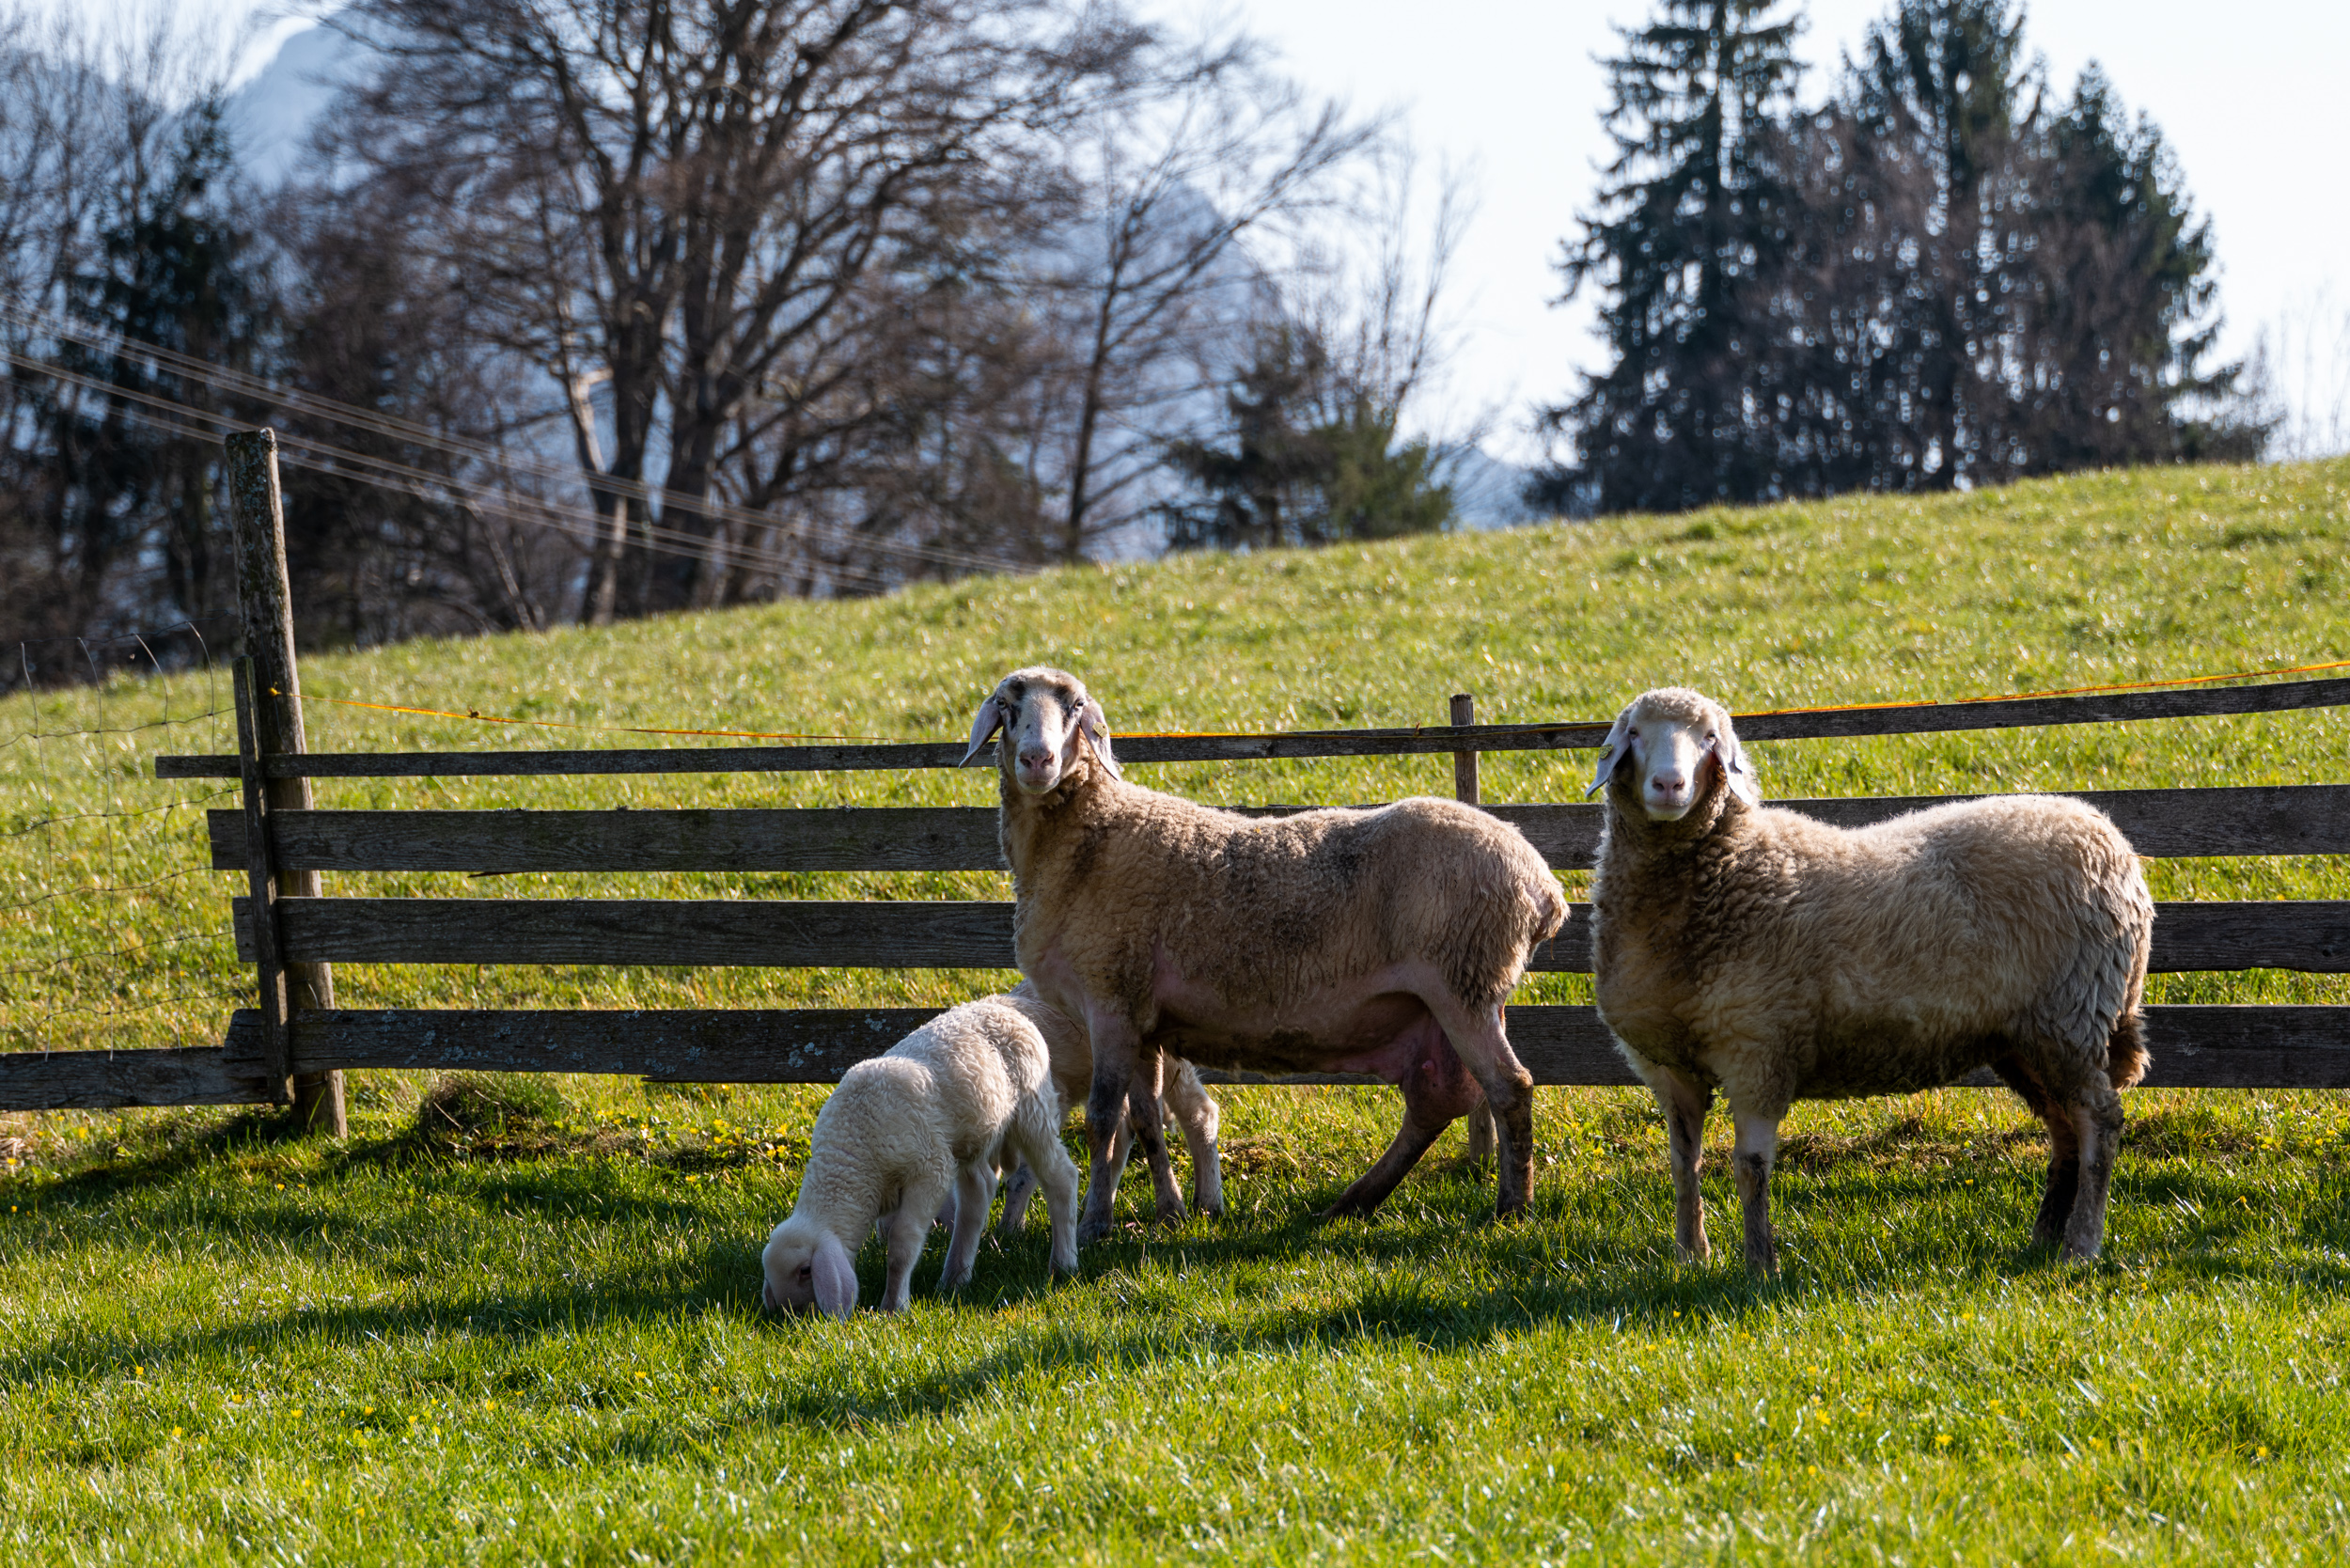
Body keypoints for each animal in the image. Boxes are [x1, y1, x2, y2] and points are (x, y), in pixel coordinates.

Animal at [760, 995, 1080, 1317]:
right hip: (969, 1135)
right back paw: (954, 1278)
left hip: (1032, 1109)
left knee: (1060, 1176)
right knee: (979, 1191)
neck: (852, 1153)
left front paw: (893, 1307)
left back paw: (1063, 1264)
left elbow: (902, 1241)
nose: (797, 1316)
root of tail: (1007, 1006)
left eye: (805, 1270)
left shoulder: (930, 1170)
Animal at [993, 981, 1223, 1237]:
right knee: (1124, 1128)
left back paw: (1208, 1205)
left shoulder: (1051, 1101)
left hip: (1167, 1059)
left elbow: (1024, 1171)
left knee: (1199, 1112)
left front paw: (1008, 1228)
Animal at [1585, 685, 2154, 1271]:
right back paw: (2044, 1237)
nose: (1669, 785)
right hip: (2024, 1036)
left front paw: (1759, 1265)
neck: (1726, 870)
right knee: (2065, 1128)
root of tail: (2111, 839)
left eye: (1709, 738)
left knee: (2100, 1122)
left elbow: (1750, 1169)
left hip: (2070, 1015)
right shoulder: (1666, 1066)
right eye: (1634, 734)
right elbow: (1683, 1164)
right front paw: (1690, 1256)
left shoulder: (1758, 1049)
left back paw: (2080, 1246)